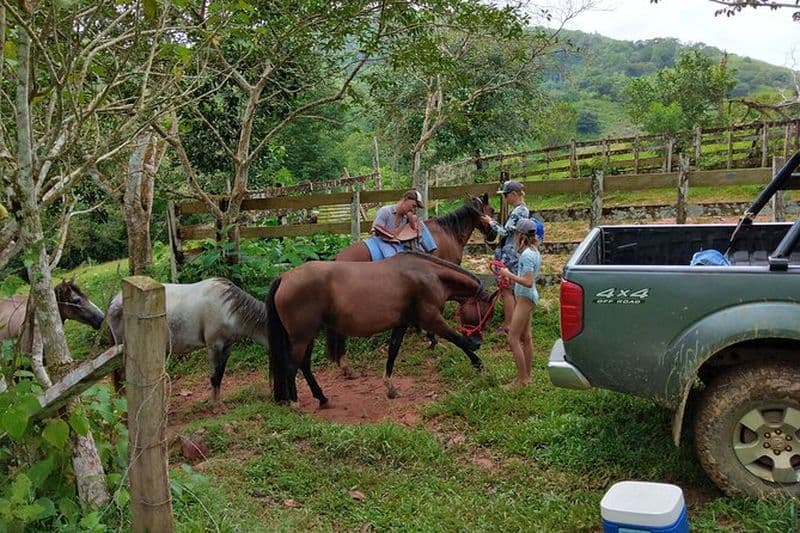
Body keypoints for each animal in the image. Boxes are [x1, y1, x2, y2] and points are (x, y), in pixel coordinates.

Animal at [107, 278, 267, 403]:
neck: (228, 308)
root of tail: (115, 300)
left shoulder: (227, 346)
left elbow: (220, 374)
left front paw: (218, 400)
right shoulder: (214, 347)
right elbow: (214, 377)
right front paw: (214, 405)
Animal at [266, 251, 494, 406]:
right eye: (486, 312)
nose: (478, 341)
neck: (429, 275)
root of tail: (284, 277)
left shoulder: (402, 324)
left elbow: (392, 352)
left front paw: (390, 388)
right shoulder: (432, 320)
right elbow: (458, 340)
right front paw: (479, 365)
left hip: (307, 336)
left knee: (303, 365)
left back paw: (321, 398)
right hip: (302, 337)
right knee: (292, 366)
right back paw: (295, 402)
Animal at [329, 193, 497, 374]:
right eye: (492, 210)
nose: (494, 235)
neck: (449, 233)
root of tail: (336, 259)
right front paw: (432, 338)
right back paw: (345, 366)